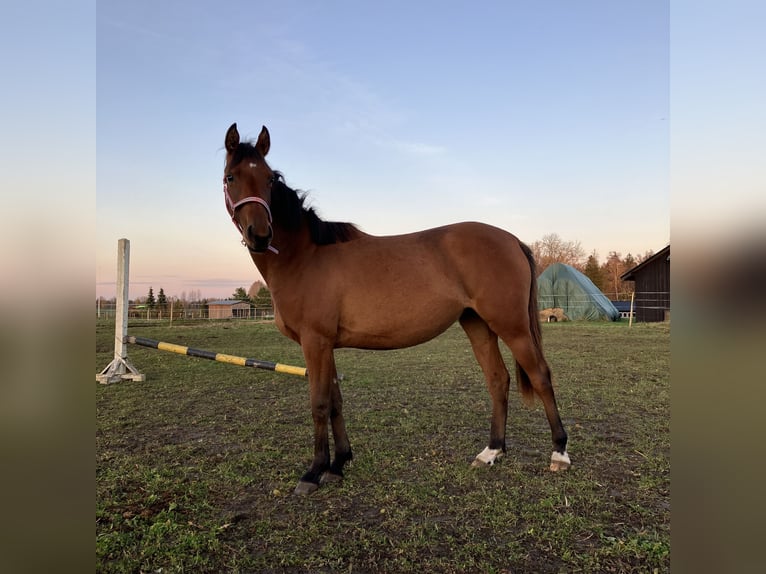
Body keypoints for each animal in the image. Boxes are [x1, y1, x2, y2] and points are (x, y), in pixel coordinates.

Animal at [222, 121, 568, 496]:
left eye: (270, 179)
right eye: (230, 177)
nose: (260, 234)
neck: (305, 256)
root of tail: (512, 240)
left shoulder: (315, 343)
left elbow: (319, 403)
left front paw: (313, 472)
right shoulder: (326, 345)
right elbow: (335, 401)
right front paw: (339, 464)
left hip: (512, 325)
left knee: (540, 375)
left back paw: (559, 453)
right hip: (477, 324)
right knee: (497, 379)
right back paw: (491, 452)